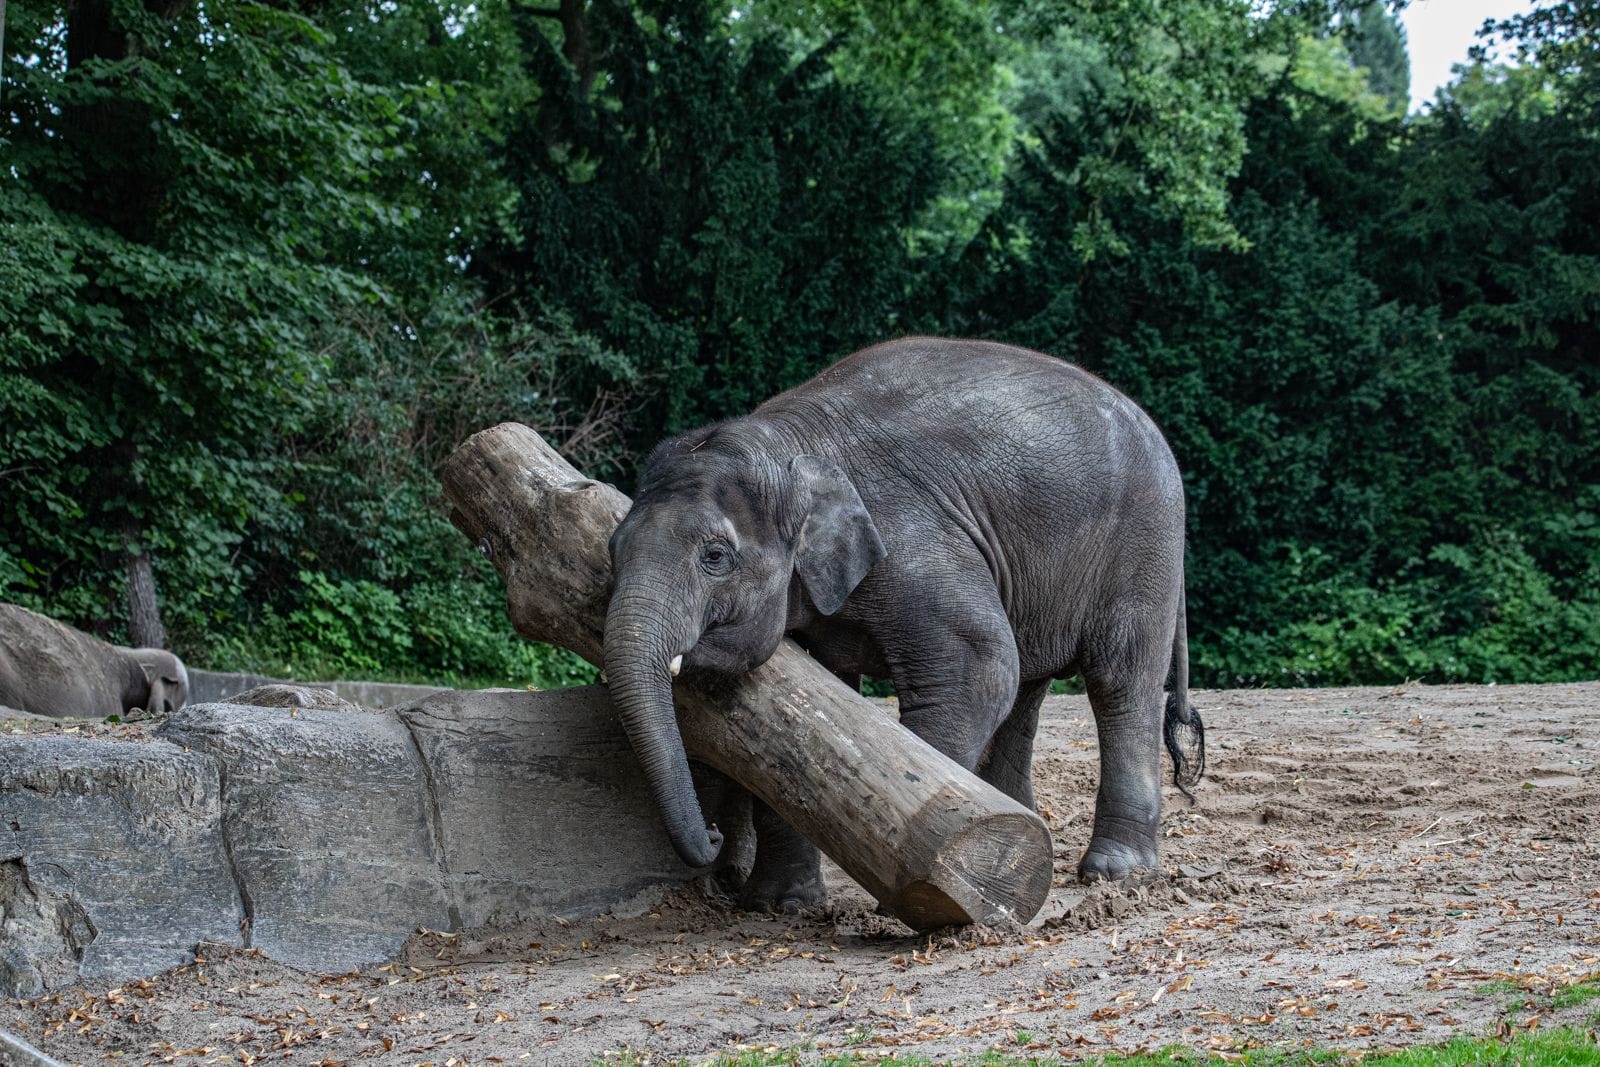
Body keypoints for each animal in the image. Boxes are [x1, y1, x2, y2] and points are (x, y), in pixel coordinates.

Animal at [604, 335, 1203, 908]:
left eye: (715, 557)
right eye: (614, 549)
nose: (713, 839)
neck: (787, 441)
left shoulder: (914, 543)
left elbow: (977, 669)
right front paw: (781, 905)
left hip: (1142, 545)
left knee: (1118, 682)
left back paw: (1114, 873)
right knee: (1029, 690)